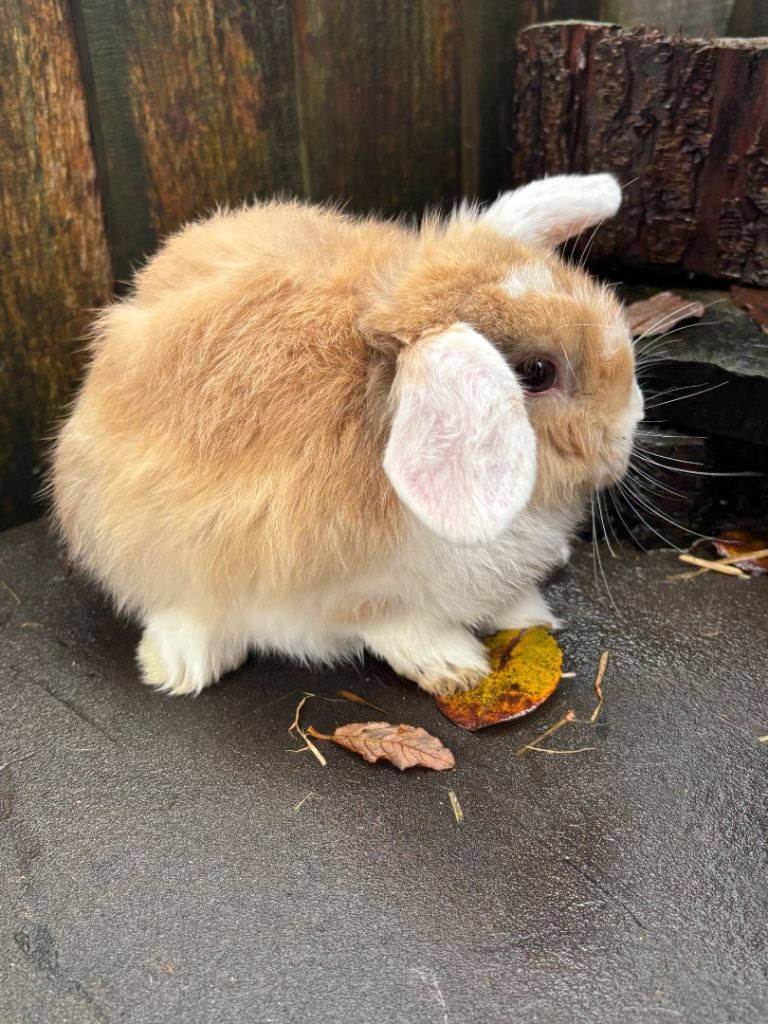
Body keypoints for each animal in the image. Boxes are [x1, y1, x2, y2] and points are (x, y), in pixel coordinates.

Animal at [52, 173, 643, 697]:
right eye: (537, 373)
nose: (631, 423)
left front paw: (530, 614)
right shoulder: (330, 591)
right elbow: (391, 624)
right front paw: (454, 665)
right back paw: (179, 666)